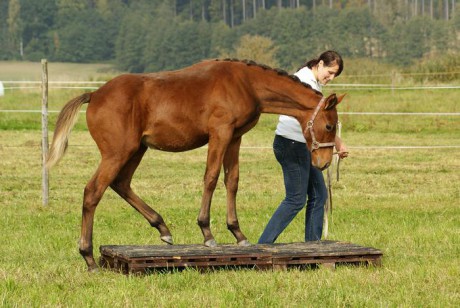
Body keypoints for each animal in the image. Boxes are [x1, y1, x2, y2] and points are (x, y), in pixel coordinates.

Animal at [46, 59, 344, 270]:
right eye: (330, 125)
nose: (323, 163)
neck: (246, 83)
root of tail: (95, 94)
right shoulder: (220, 134)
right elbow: (210, 177)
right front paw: (207, 233)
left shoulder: (235, 137)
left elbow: (232, 180)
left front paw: (238, 233)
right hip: (117, 152)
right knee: (93, 191)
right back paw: (89, 257)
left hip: (136, 149)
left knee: (121, 184)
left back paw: (163, 229)